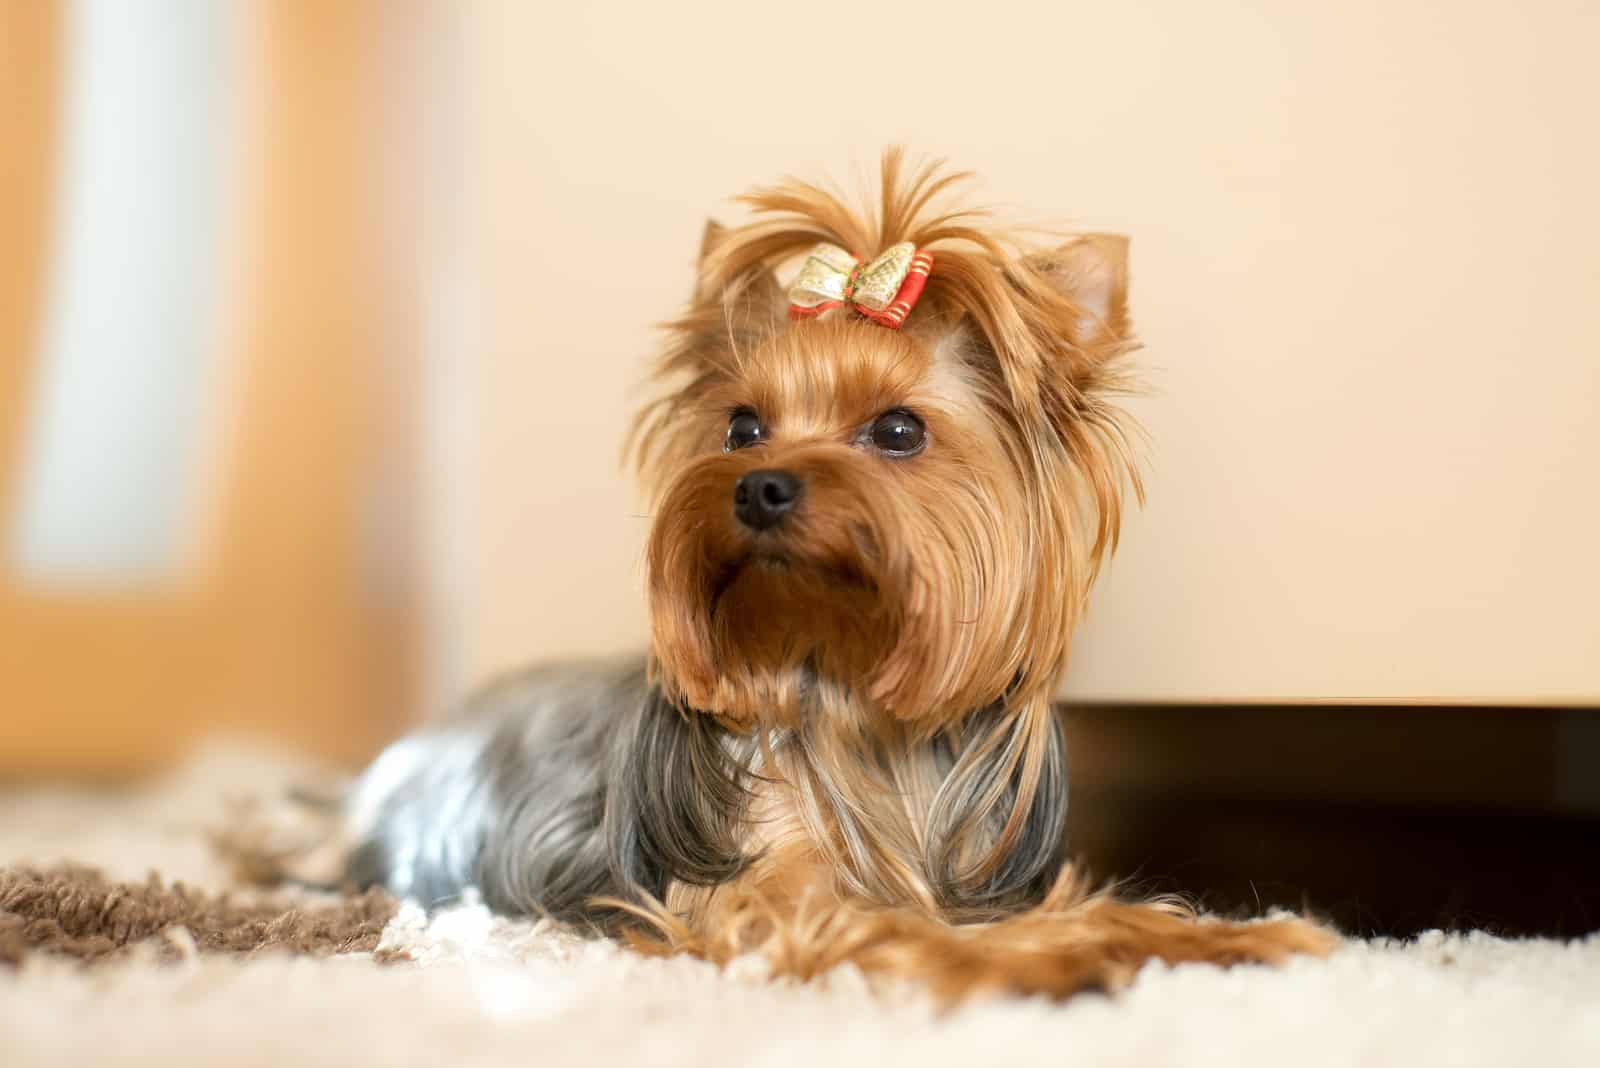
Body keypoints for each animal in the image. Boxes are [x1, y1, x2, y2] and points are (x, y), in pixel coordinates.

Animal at [340, 151, 1337, 1004]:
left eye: (898, 431)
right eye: (742, 426)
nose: (759, 484)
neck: (844, 686)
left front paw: (1238, 936)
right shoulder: (766, 891)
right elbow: (913, 931)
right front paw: (1054, 960)